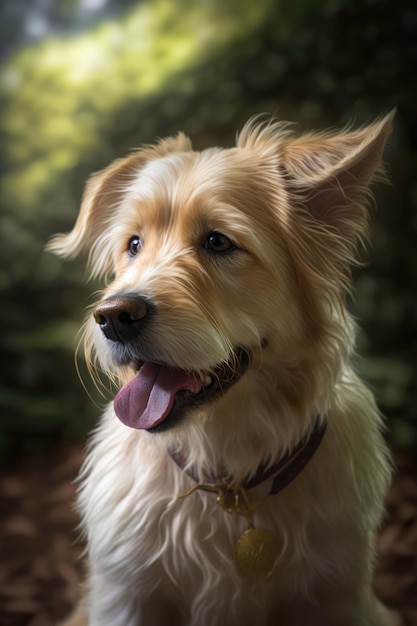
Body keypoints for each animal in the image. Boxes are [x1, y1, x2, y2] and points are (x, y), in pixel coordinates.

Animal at [49, 113, 396, 624]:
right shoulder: (127, 596)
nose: (112, 316)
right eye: (134, 244)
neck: (228, 483)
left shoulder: (333, 594)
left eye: (218, 241)